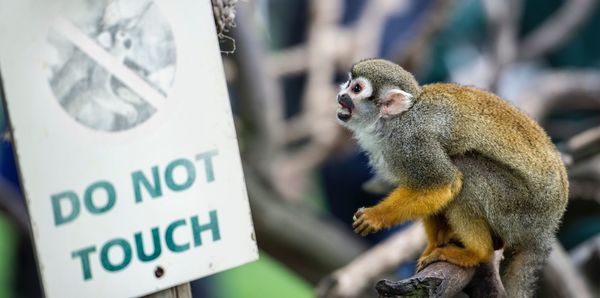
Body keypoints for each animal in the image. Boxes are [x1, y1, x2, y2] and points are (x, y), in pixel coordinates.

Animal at [338, 58, 568, 298]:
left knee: (467, 170)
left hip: (520, 209)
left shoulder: (412, 142)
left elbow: (444, 183)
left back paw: (478, 252)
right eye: (348, 83)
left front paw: (376, 216)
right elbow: (426, 189)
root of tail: (547, 226)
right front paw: (435, 244)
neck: (395, 120)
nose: (341, 94)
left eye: (356, 89)